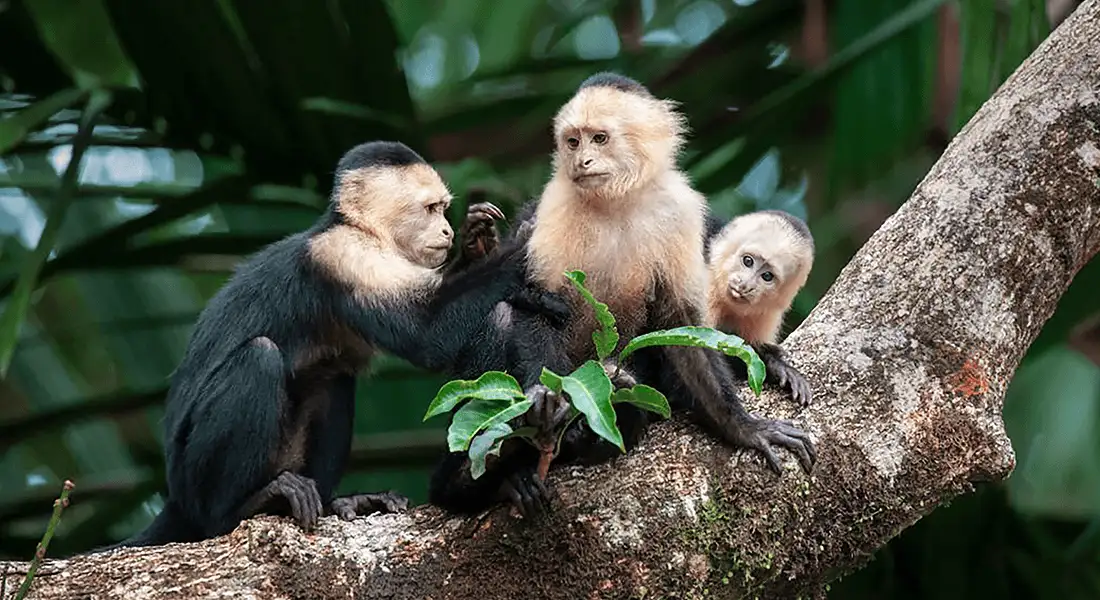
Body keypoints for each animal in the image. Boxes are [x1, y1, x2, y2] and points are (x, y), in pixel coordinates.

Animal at [112, 141, 571, 549]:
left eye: (444, 210)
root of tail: (174, 497)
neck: (361, 230)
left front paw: (481, 243)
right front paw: (526, 239)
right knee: (259, 358)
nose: (446, 230)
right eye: (430, 209)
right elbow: (426, 334)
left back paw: (337, 501)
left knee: (331, 378)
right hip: (194, 478)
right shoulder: (347, 255)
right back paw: (242, 508)